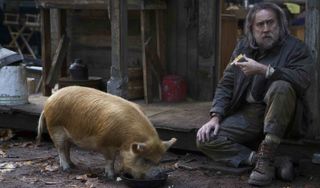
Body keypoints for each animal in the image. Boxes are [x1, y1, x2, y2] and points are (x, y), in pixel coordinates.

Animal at [37, 86, 178, 178]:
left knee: (67, 149)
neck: (125, 141)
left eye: (159, 161)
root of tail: (48, 101)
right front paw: (111, 176)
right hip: (55, 128)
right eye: (146, 160)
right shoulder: (105, 144)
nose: (158, 174)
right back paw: (67, 169)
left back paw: (73, 165)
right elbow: (110, 160)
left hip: (68, 135)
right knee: (60, 149)